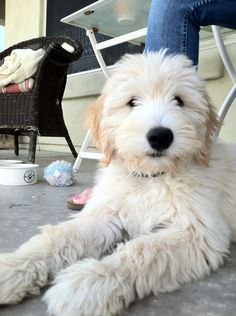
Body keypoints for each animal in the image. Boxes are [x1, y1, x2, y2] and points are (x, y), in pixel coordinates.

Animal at [0, 52, 236, 316]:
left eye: (179, 100)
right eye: (132, 102)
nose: (160, 137)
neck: (149, 178)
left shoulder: (198, 231)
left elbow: (143, 249)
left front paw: (90, 281)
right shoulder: (105, 213)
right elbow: (58, 237)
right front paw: (13, 266)